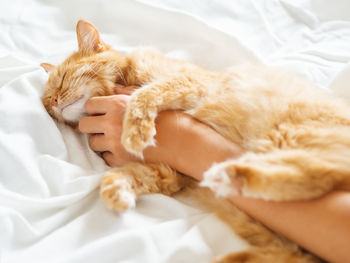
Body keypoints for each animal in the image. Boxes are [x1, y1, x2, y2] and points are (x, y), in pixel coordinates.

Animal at [41, 20, 350, 263]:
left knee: (314, 173)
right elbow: (132, 175)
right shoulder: (173, 173)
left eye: (63, 80)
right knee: (296, 246)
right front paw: (117, 190)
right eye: (47, 103)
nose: (54, 102)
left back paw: (233, 174)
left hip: (290, 138)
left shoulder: (191, 82)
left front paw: (134, 131)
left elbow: (144, 95)